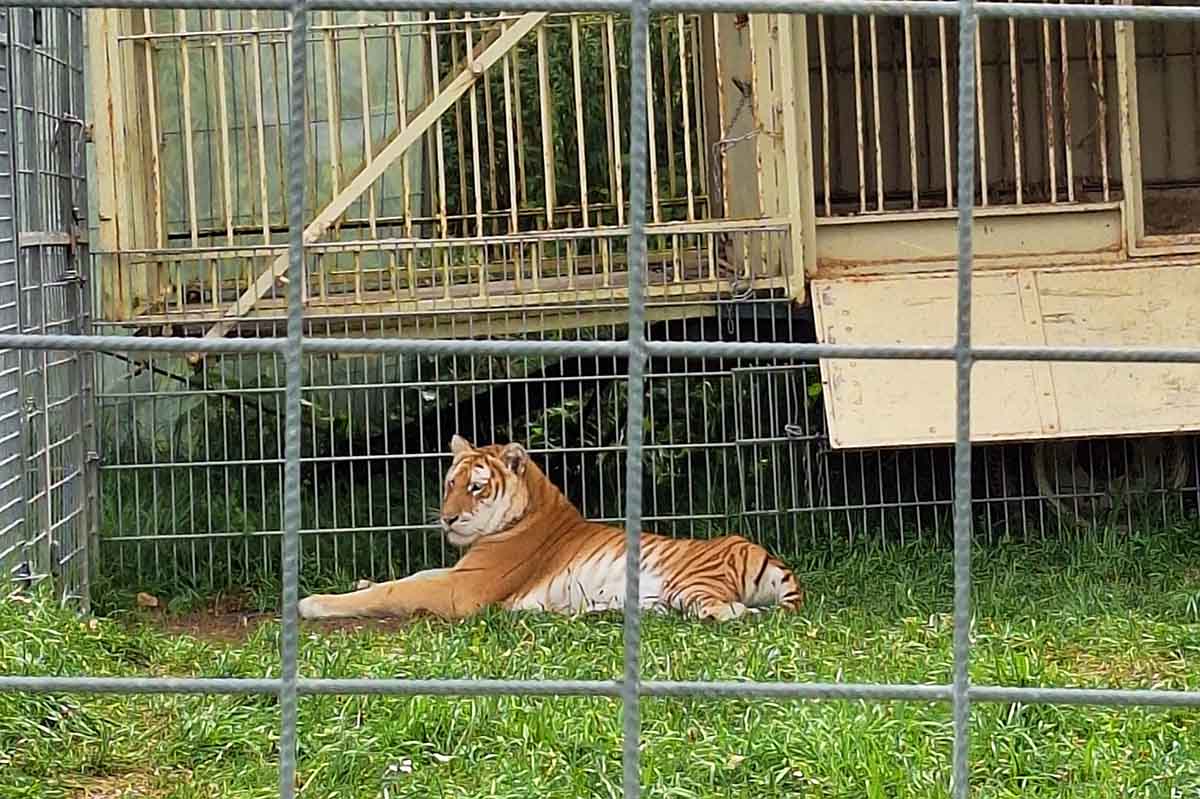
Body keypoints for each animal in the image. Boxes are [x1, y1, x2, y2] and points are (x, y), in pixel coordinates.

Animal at [297, 431, 806, 619]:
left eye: (476, 488)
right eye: (449, 484)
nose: (448, 517)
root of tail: (766, 555)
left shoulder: (462, 588)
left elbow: (397, 589)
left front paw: (315, 603)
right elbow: (405, 576)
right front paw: (359, 581)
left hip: (692, 584)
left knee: (731, 612)